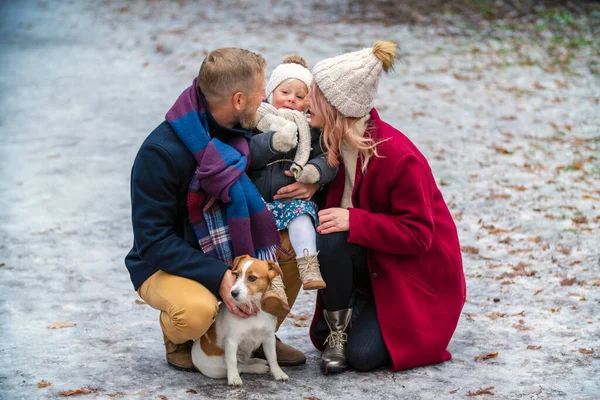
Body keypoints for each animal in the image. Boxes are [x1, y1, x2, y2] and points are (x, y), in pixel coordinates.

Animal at [190, 255, 288, 386]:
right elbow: (232, 362)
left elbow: (273, 357)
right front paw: (234, 378)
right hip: (219, 367)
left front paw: (278, 373)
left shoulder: (269, 338)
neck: (253, 309)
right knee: (241, 366)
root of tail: (195, 363)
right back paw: (257, 368)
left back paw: (256, 361)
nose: (233, 293)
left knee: (244, 362)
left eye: (252, 278)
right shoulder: (232, 341)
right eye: (236, 275)